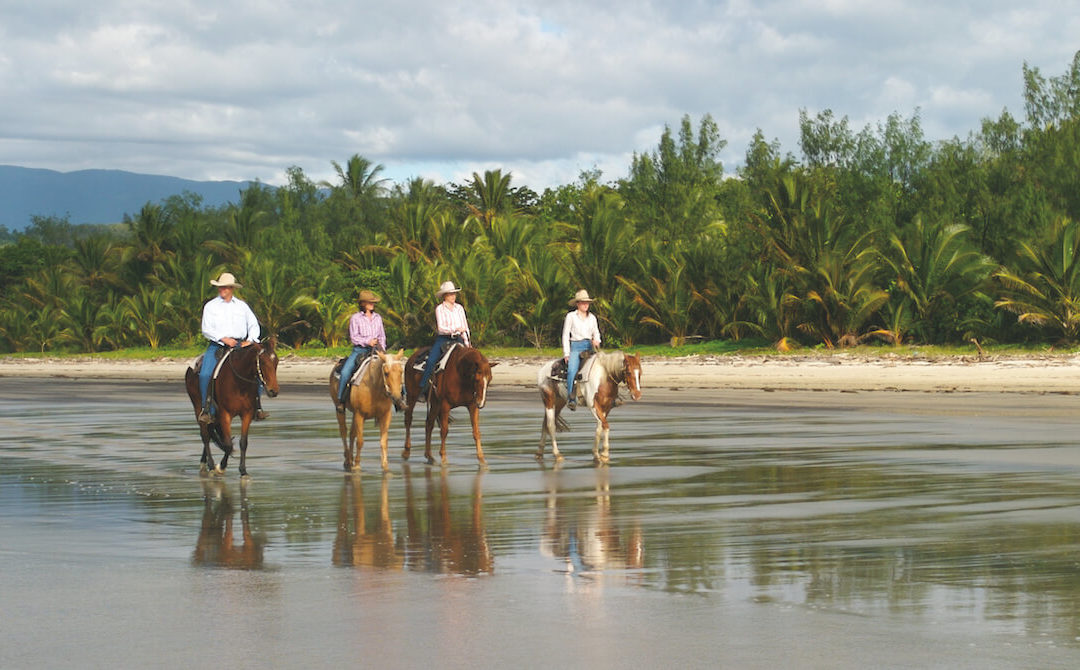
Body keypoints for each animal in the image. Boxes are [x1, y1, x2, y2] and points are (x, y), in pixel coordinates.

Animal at [183, 339, 280, 475]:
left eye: (276, 361)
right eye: (263, 362)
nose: (274, 391)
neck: (239, 384)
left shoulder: (247, 414)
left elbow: (243, 442)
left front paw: (243, 471)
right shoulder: (225, 414)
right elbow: (228, 444)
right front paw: (220, 467)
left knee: (210, 432)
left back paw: (205, 462)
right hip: (198, 408)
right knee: (205, 436)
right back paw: (210, 465)